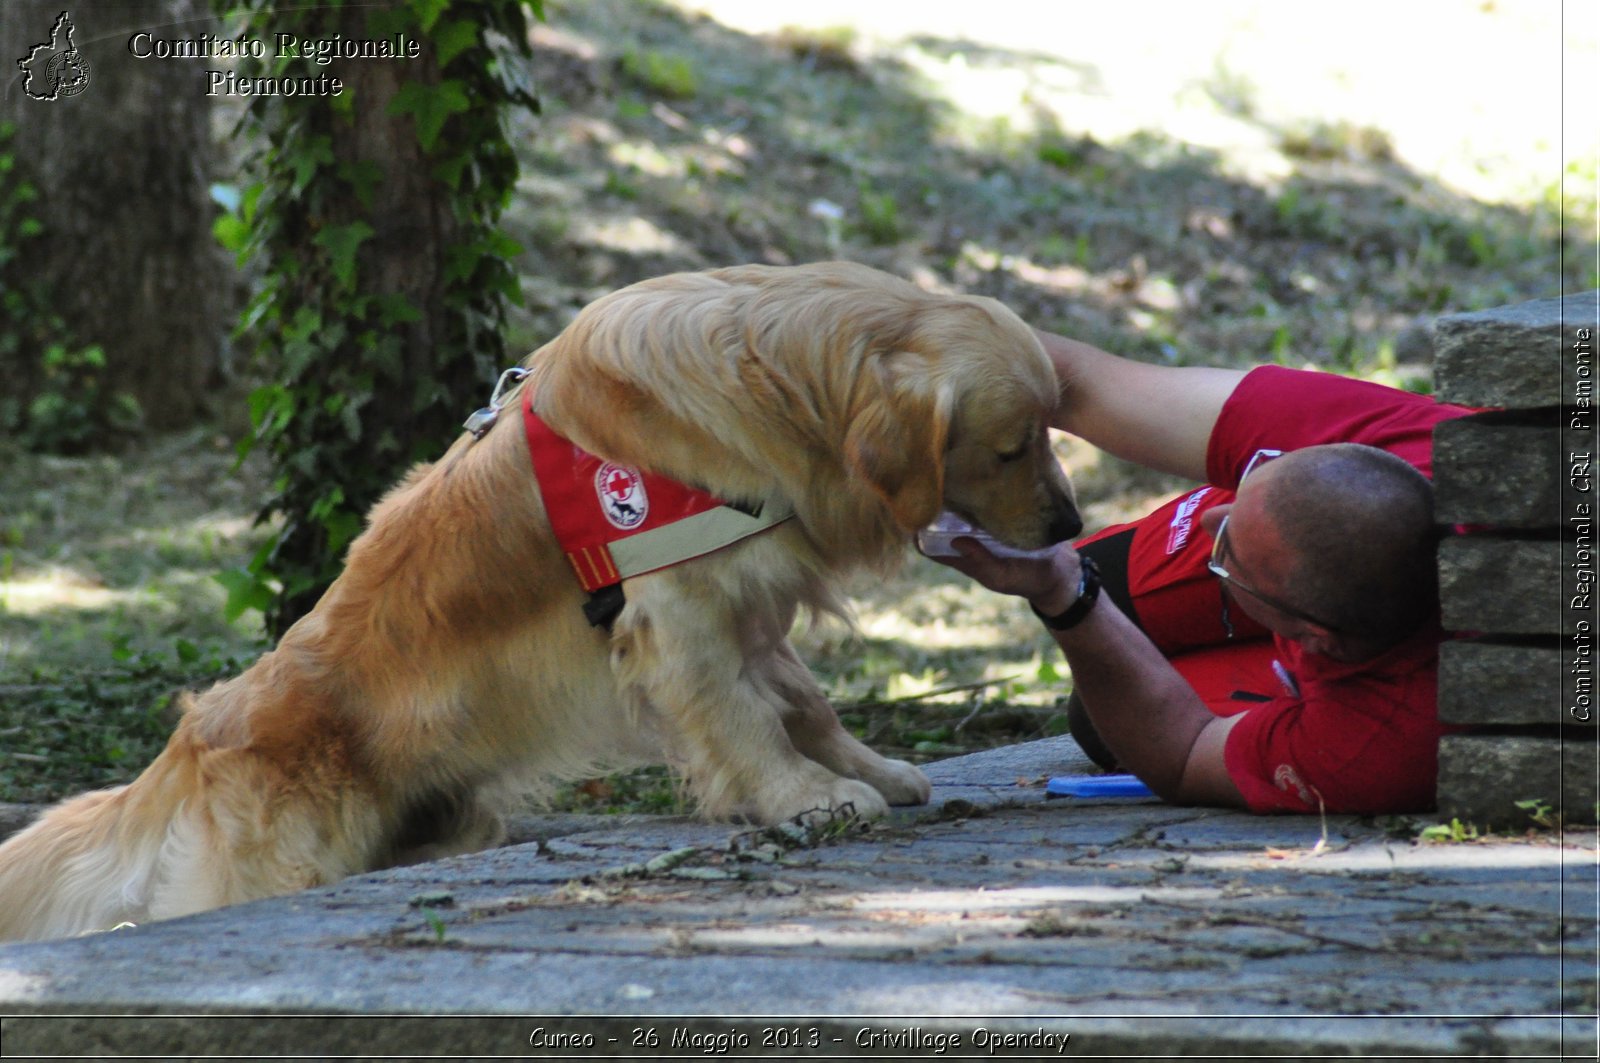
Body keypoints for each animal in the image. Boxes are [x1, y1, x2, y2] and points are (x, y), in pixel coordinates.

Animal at [0, 264, 1081, 941]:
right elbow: (745, 719)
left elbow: (802, 701)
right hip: (285, 859)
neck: (781, 380)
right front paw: (804, 798)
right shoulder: (678, 609)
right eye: (1011, 444)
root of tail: (196, 730)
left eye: (1045, 429)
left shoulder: (744, 598)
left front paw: (868, 768)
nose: (1072, 522)